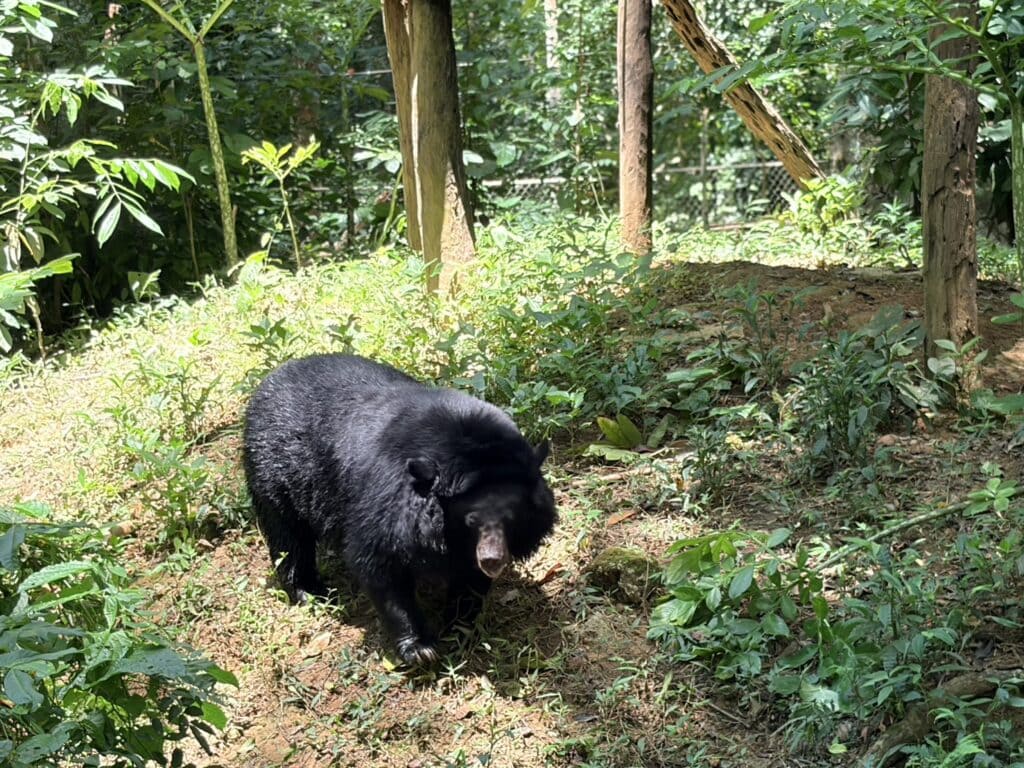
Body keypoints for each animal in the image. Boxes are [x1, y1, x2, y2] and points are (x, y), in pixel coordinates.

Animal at [242, 353, 557, 664]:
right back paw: (309, 591)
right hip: (276, 475)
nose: (492, 559)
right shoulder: (387, 502)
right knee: (289, 537)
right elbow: (379, 565)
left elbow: (468, 577)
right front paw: (421, 649)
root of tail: (270, 379)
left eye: (512, 518)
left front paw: (458, 627)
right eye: (471, 519)